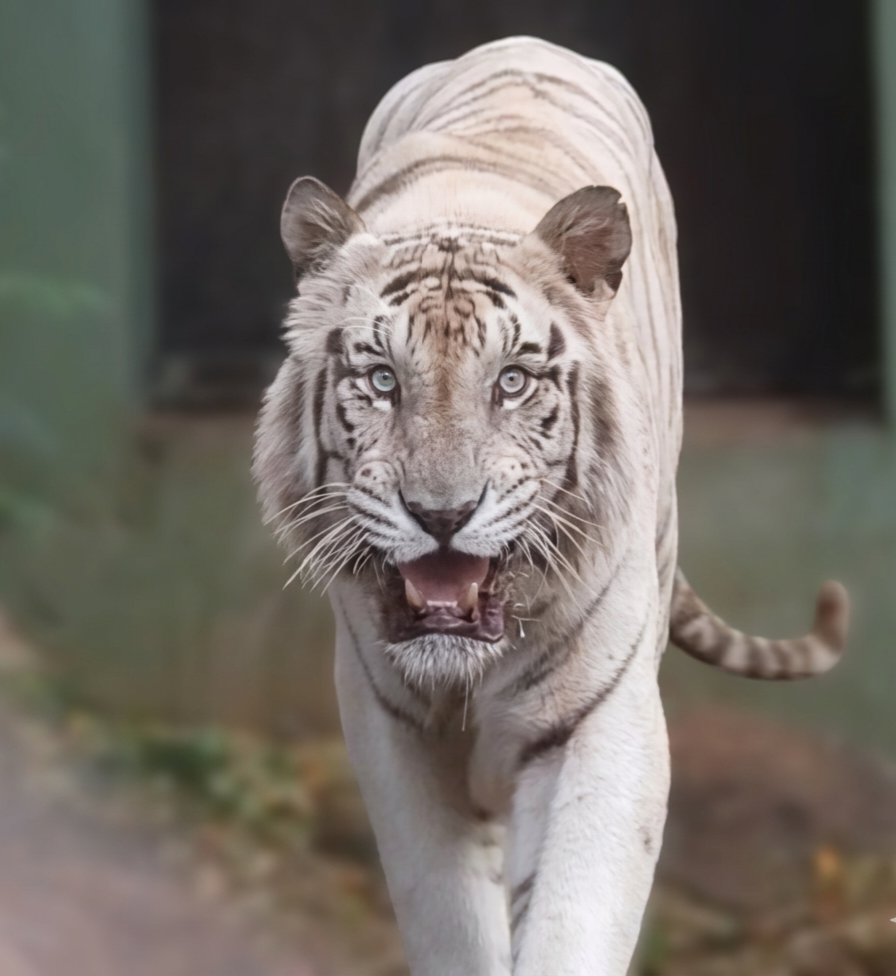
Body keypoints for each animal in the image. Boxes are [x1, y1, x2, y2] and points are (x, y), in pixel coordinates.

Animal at [253, 36, 849, 976]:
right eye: (382, 380)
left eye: (512, 381)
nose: (442, 514)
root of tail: (526, 42)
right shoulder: (392, 731)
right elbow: (451, 920)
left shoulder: (599, 725)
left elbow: (573, 918)